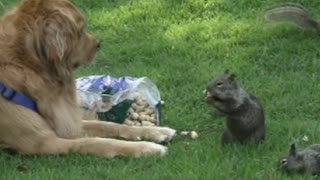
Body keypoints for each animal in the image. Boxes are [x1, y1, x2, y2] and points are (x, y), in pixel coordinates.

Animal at [0, 0, 176, 158]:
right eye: (80, 29)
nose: (98, 44)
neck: (27, 67)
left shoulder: (67, 121)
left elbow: (108, 125)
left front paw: (157, 131)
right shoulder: (43, 143)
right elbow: (97, 142)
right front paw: (147, 148)